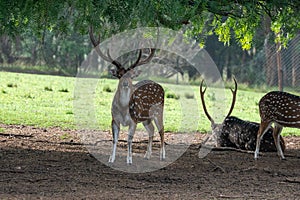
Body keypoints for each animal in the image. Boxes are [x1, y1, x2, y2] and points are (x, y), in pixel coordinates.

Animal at [89, 26, 165, 164]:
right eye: (119, 74)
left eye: (130, 75)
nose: (125, 83)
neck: (124, 109)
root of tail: (160, 86)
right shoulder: (114, 119)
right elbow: (115, 139)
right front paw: (111, 158)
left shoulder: (133, 120)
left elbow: (129, 139)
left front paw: (129, 160)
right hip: (146, 119)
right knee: (151, 130)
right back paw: (147, 155)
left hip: (158, 111)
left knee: (162, 130)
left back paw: (162, 156)